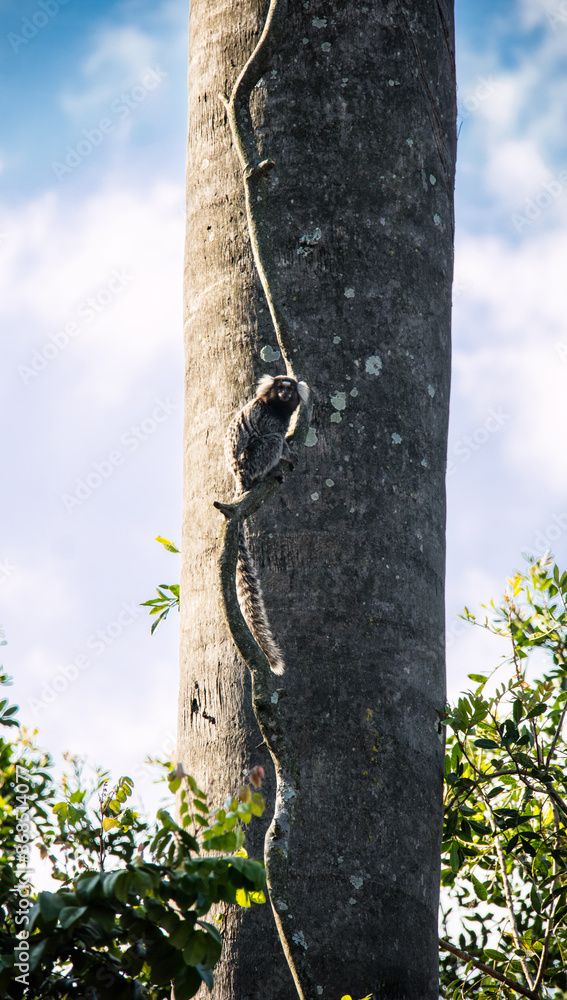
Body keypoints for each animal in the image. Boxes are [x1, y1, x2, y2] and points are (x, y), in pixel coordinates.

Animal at [225, 374, 309, 675]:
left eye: (290, 389)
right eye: (280, 388)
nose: (285, 393)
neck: (278, 408)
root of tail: (239, 476)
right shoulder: (269, 419)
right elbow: (275, 436)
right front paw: (287, 453)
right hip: (251, 459)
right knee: (270, 441)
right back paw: (269, 472)